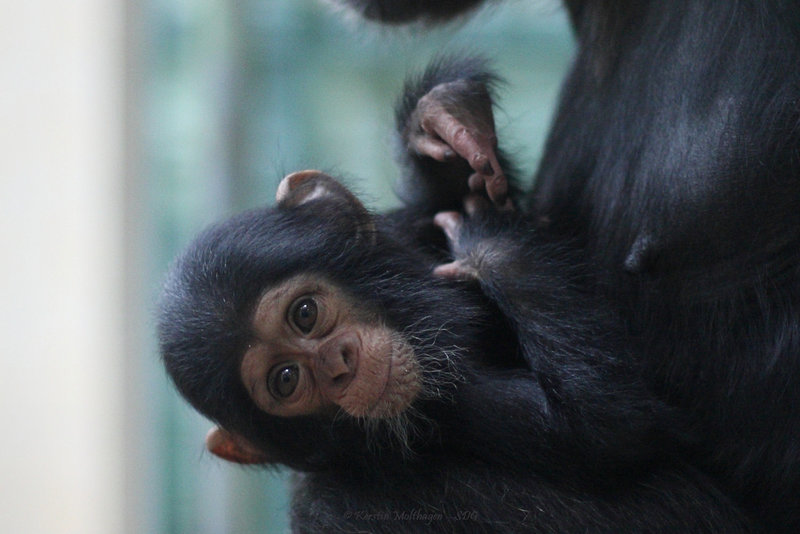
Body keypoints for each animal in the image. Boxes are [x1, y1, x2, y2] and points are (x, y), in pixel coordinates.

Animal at [159, 56, 752, 532]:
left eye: (305, 314)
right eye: (286, 380)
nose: (339, 365)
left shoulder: (409, 229)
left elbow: (460, 193)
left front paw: (443, 124)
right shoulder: (457, 402)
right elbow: (604, 426)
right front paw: (489, 246)